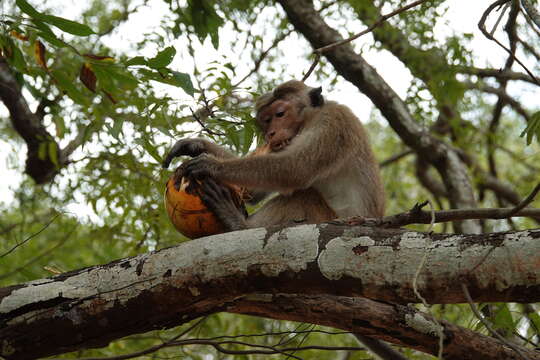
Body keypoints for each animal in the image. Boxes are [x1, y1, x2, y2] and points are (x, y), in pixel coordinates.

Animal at [161, 79, 384, 231]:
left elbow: (294, 168)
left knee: (305, 194)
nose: (271, 133)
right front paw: (197, 145)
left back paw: (239, 224)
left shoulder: (332, 122)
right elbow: (250, 190)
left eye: (280, 114)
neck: (310, 118)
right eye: (266, 121)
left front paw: (210, 165)